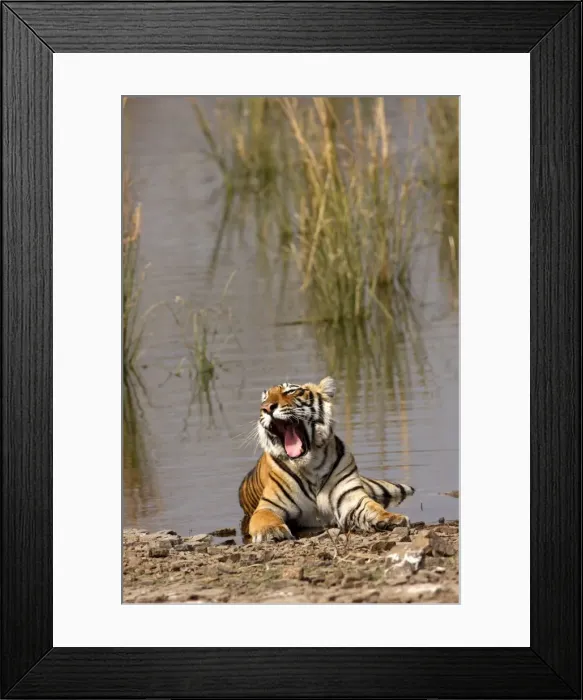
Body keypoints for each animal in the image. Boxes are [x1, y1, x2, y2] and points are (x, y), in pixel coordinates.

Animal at [238, 376, 415, 543]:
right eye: (264, 400)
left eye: (290, 391)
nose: (266, 408)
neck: (311, 466)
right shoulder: (269, 506)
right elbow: (265, 517)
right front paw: (271, 531)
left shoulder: (351, 499)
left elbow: (374, 508)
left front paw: (392, 518)